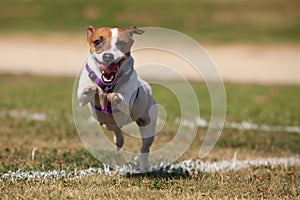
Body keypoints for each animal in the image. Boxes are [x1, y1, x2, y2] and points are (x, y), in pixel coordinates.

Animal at [77, 25, 157, 171]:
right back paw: (119, 142)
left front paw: (116, 97)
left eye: (121, 43)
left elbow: (123, 100)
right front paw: (90, 89)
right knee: (116, 130)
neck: (108, 85)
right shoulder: (81, 97)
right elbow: (84, 94)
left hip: (147, 125)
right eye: (97, 41)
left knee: (145, 148)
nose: (108, 56)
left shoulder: (127, 102)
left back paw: (143, 167)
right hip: (107, 123)